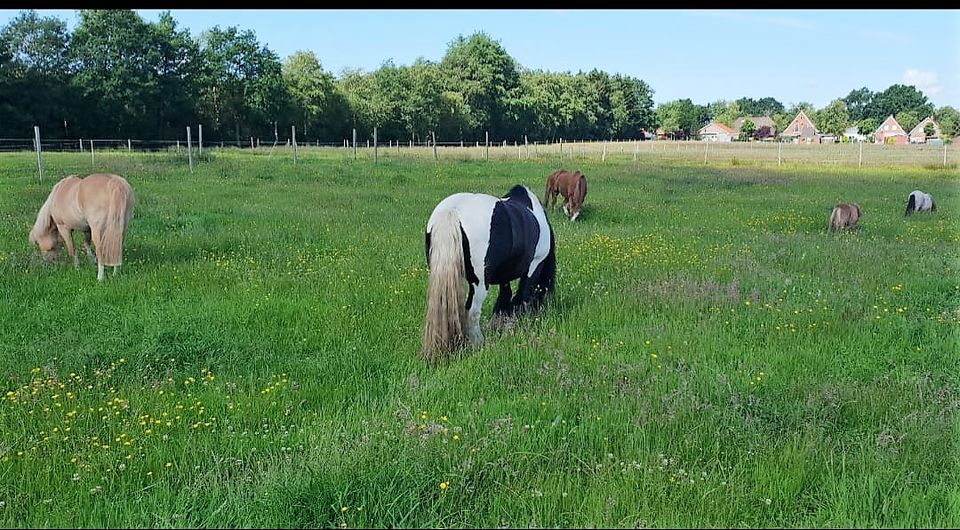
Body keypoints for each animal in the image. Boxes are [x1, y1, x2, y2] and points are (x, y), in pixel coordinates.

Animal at [420, 183, 556, 358]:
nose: (540, 313)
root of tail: (453, 212)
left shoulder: (505, 273)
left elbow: (505, 295)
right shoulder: (534, 266)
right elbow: (522, 298)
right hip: (479, 283)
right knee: (472, 311)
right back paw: (478, 343)